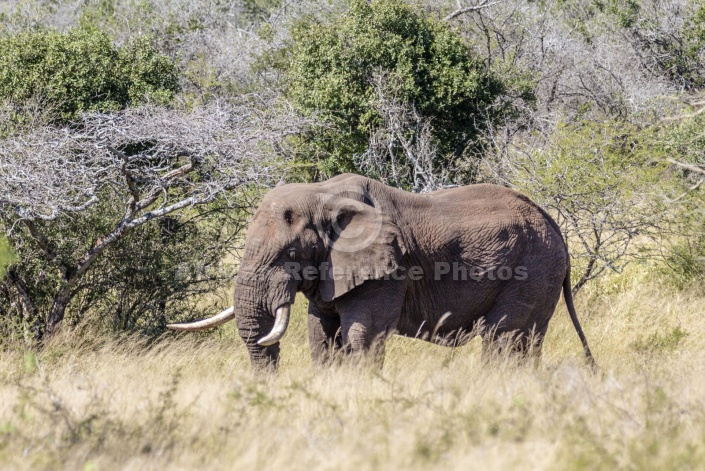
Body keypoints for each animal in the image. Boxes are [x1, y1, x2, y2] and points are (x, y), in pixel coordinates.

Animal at [166, 175, 592, 370]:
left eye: (291, 253)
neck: (321, 194)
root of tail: (553, 224)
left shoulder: (386, 270)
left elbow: (363, 335)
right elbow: (321, 335)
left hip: (533, 270)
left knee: (503, 338)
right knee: (523, 341)